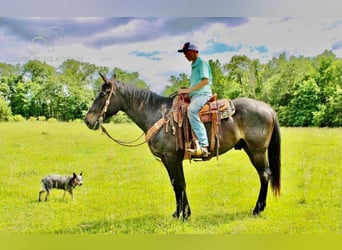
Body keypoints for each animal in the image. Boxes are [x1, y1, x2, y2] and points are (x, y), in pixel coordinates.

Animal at [85, 73, 280, 220]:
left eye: (102, 95)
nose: (87, 120)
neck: (158, 115)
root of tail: (268, 108)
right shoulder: (167, 160)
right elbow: (175, 184)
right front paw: (179, 213)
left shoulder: (173, 158)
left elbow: (180, 183)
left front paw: (184, 215)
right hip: (249, 149)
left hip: (257, 151)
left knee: (265, 175)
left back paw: (257, 209)